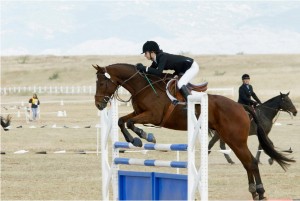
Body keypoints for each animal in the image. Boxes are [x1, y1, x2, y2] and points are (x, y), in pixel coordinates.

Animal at [94, 63, 296, 199]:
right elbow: (122, 120)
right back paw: (255, 192)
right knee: (248, 162)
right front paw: (139, 138)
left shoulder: (153, 115)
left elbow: (128, 123)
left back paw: (260, 191)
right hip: (231, 138)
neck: (143, 86)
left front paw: (143, 137)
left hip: (236, 139)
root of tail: (241, 107)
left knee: (251, 162)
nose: (99, 104)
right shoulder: (139, 113)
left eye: (102, 83)